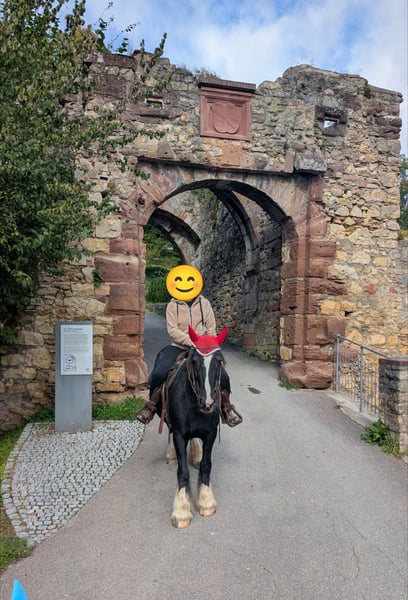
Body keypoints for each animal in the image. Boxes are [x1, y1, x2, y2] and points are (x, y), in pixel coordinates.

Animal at [164, 324, 229, 528]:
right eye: (194, 361)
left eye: (219, 361)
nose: (207, 403)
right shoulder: (179, 434)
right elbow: (183, 471)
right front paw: (181, 511)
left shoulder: (210, 433)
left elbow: (206, 465)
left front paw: (206, 501)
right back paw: (171, 455)